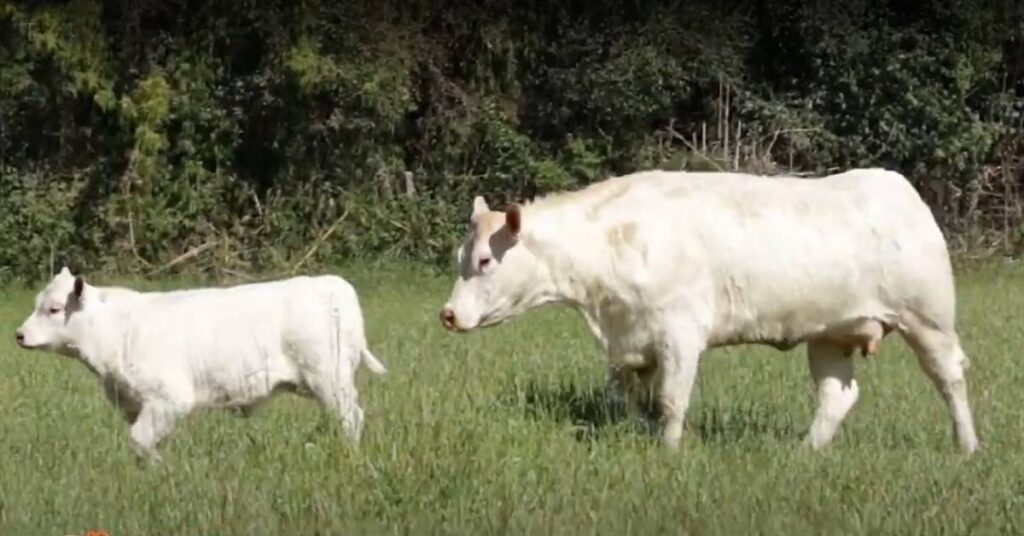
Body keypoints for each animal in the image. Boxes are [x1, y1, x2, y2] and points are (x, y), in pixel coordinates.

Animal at [14, 270, 385, 463]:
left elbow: (139, 439)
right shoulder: (134, 405)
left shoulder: (169, 398)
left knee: (351, 417)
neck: (115, 332)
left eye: (53, 308)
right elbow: (142, 441)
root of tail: (334, 284)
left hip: (329, 378)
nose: (19, 335)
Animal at [442, 168, 983, 452]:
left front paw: (670, 451)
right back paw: (804, 453)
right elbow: (625, 401)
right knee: (837, 396)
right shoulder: (630, 344)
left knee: (951, 379)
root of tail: (897, 186)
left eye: (486, 259)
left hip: (929, 320)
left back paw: (967, 446)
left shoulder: (680, 333)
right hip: (830, 334)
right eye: (460, 256)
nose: (447, 315)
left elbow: (671, 402)